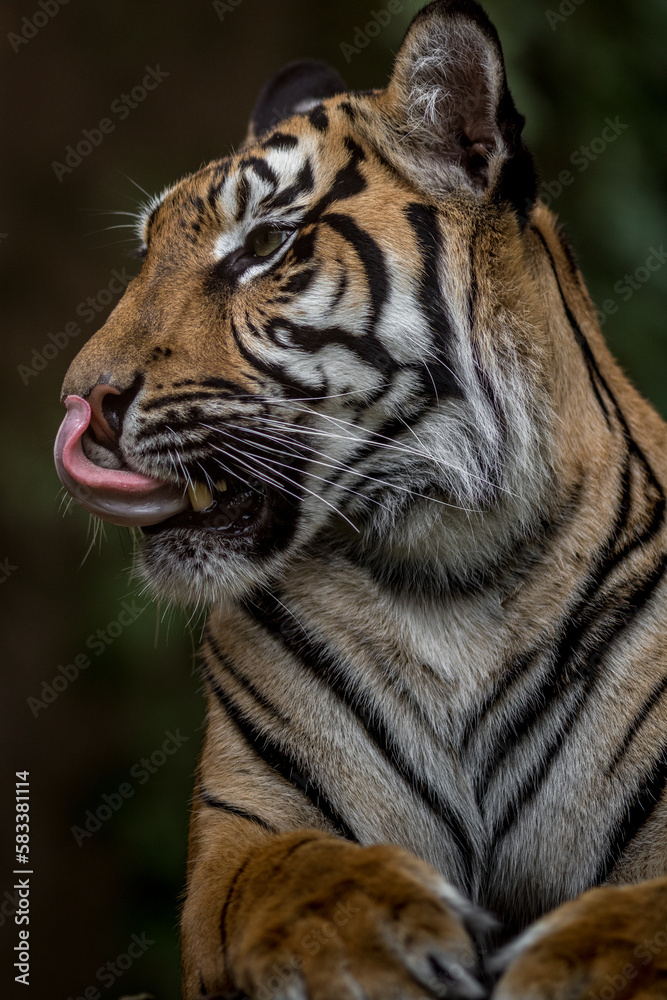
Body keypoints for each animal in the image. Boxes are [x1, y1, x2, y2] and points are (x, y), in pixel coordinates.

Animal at [54, 1, 667, 997]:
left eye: (265, 245)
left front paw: (575, 959)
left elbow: (644, 912)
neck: (455, 569)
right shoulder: (247, 822)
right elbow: (290, 868)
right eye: (147, 253)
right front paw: (369, 929)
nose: (80, 402)